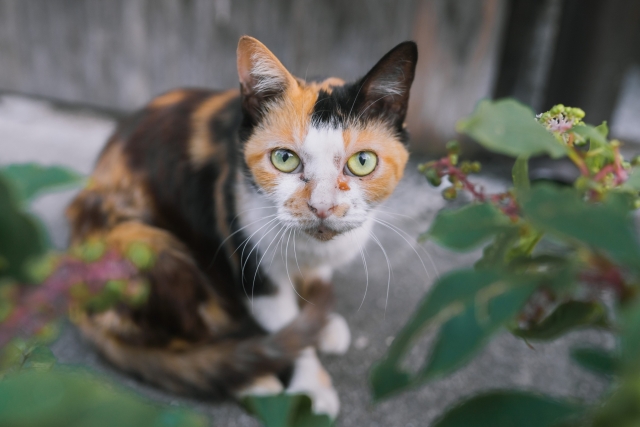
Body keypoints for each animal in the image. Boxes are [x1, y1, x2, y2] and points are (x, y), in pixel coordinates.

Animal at [67, 36, 418, 418]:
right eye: (284, 158)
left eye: (362, 162)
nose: (322, 207)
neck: (310, 249)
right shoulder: (253, 265)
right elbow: (289, 332)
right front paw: (312, 388)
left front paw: (319, 319)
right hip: (145, 247)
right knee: (190, 334)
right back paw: (251, 378)